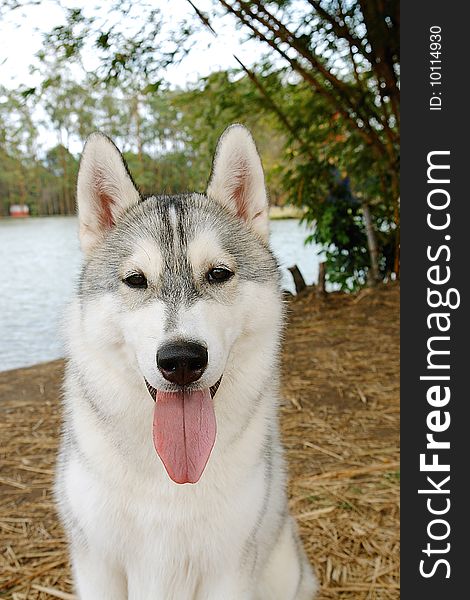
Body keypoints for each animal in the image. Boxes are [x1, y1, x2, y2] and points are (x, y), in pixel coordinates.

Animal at [55, 124, 316, 596]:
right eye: (135, 280)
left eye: (218, 274)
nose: (181, 360)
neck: (170, 474)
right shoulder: (98, 564)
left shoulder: (229, 569)